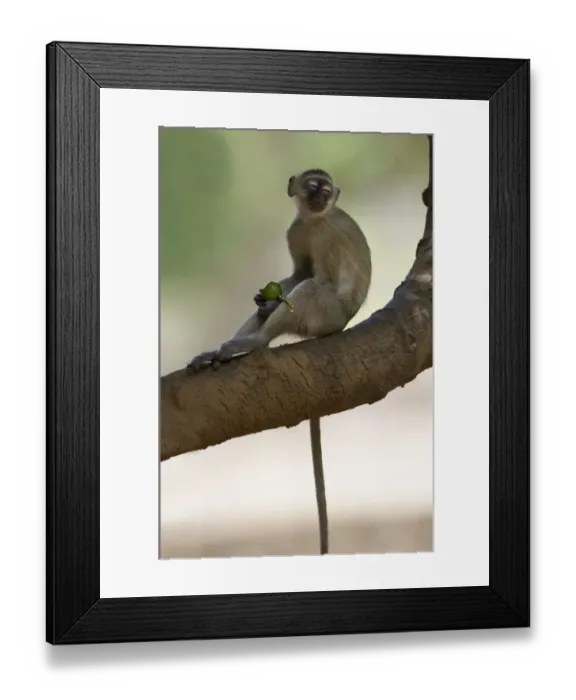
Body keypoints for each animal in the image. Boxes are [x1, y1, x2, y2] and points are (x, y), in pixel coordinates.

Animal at [187, 168, 372, 555]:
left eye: (326, 191)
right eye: (313, 187)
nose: (319, 198)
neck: (313, 219)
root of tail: (339, 326)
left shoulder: (325, 235)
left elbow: (317, 279)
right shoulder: (296, 230)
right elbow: (296, 275)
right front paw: (265, 298)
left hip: (326, 315)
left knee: (311, 291)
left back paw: (253, 342)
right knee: (284, 298)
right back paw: (230, 344)